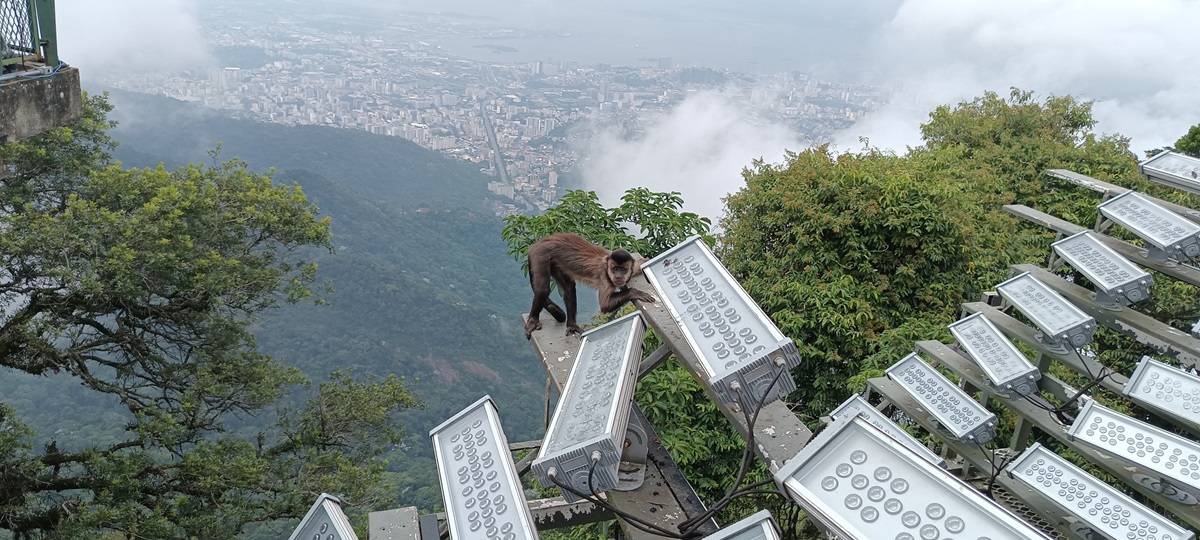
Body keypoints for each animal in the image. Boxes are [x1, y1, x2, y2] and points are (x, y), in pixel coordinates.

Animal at [523, 231, 657, 338]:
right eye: (614, 269)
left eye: (623, 270)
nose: (618, 276)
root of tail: (541, 242)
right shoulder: (604, 276)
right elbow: (605, 305)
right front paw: (634, 292)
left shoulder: (631, 268)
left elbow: (640, 263)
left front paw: (646, 261)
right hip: (540, 255)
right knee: (543, 290)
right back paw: (533, 320)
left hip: (555, 262)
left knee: (569, 287)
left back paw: (571, 325)